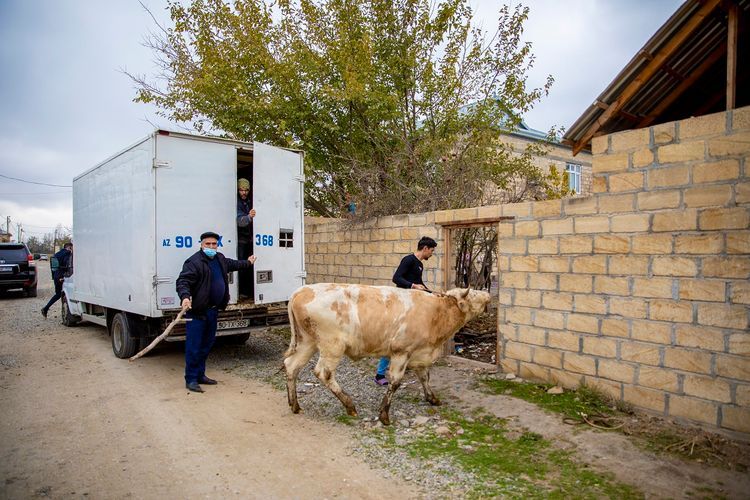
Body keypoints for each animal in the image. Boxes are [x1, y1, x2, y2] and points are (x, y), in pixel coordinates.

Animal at [284, 284, 494, 424]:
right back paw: (349, 406)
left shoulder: (419, 354)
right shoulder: (402, 351)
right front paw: (384, 414)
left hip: (307, 342)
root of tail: (300, 291)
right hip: (332, 345)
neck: (436, 313)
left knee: (291, 366)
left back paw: (294, 404)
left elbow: (424, 377)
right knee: (324, 373)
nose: (488, 294)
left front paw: (432, 398)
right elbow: (395, 382)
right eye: (474, 294)